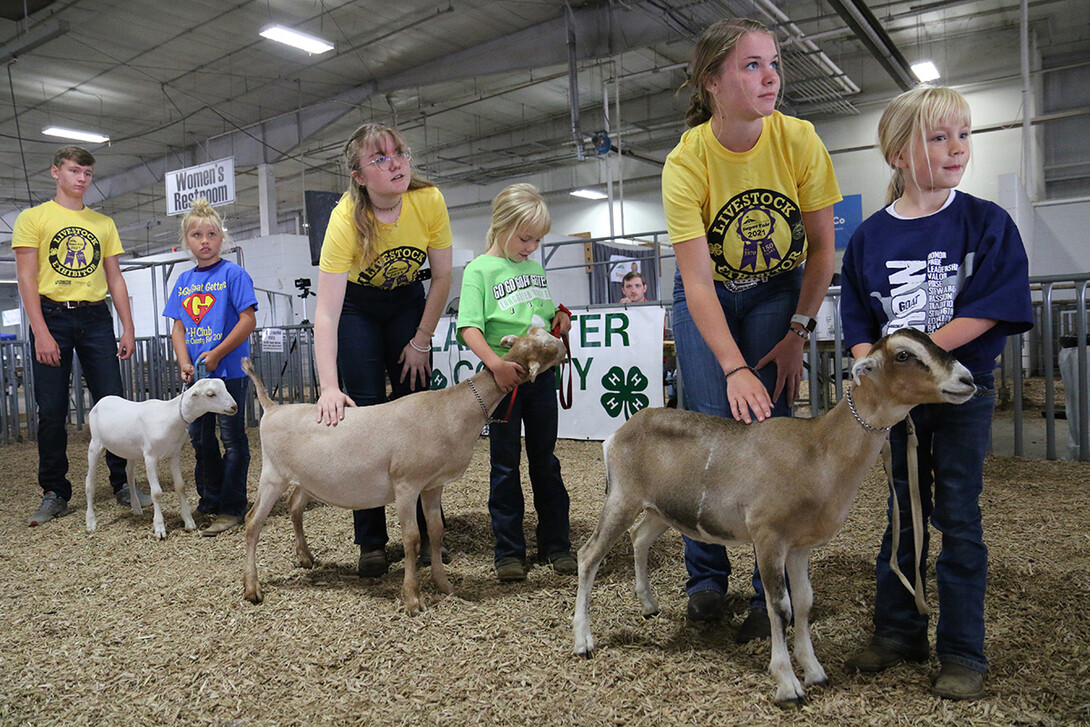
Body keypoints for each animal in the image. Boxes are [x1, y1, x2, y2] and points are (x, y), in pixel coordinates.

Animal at [85, 381, 240, 540]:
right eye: (210, 394)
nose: (234, 407)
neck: (170, 416)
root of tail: (103, 400)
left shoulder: (174, 455)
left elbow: (180, 486)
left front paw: (189, 522)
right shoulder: (150, 457)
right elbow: (157, 492)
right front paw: (159, 528)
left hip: (130, 451)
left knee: (130, 476)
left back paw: (136, 507)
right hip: (95, 444)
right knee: (90, 483)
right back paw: (91, 522)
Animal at [241, 329, 566, 614]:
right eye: (546, 347)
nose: (563, 344)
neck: (452, 409)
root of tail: (271, 408)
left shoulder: (432, 485)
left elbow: (435, 531)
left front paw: (444, 585)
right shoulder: (407, 485)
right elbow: (412, 538)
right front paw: (413, 599)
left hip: (306, 478)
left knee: (294, 506)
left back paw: (305, 557)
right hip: (272, 475)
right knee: (253, 523)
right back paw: (252, 588)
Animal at [575, 329, 976, 706]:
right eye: (904, 355)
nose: (967, 379)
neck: (819, 450)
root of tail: (616, 435)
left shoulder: (799, 546)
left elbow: (804, 603)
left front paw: (814, 671)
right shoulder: (768, 536)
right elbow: (779, 608)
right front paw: (788, 684)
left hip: (662, 508)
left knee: (640, 536)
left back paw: (648, 604)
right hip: (622, 497)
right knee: (589, 555)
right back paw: (583, 641)